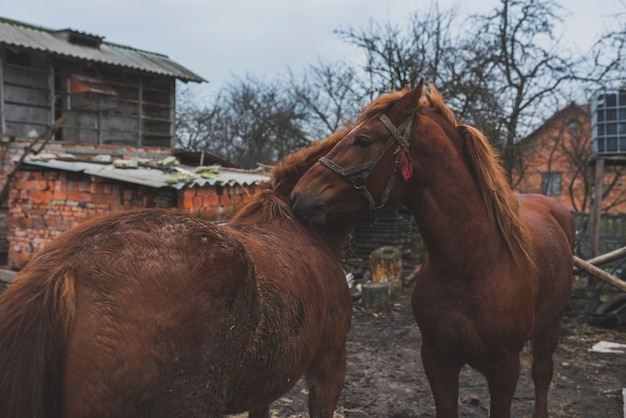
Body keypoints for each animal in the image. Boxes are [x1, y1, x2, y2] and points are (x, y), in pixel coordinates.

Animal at [0, 127, 354, 418]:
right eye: (361, 140)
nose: (306, 199)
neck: (302, 226)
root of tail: (71, 264)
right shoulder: (330, 361)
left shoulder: (265, 384)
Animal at [290, 81, 572, 418]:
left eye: (363, 140)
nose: (297, 195)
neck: (472, 267)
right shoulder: (437, 360)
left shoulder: (505, 369)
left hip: (550, 326)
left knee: (542, 374)